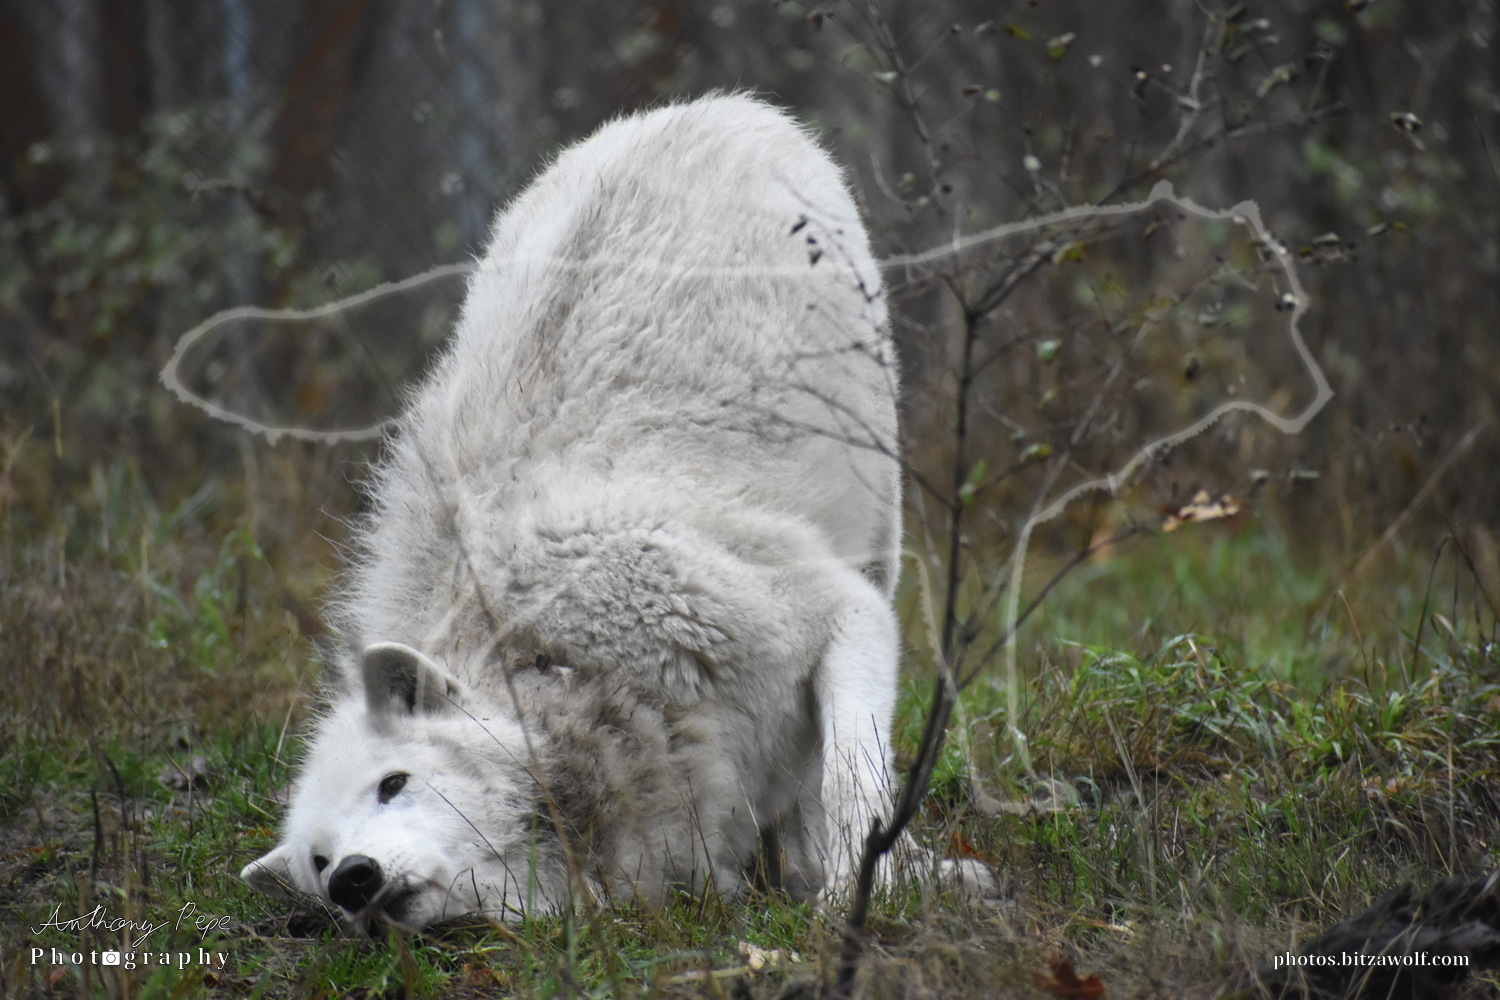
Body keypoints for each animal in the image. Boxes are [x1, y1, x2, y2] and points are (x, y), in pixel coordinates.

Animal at [241, 94, 942, 929]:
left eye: (393, 783)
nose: (353, 878)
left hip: (878, 530)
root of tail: (702, 107)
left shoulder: (841, 613)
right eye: (319, 863)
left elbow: (850, 781)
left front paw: (864, 893)